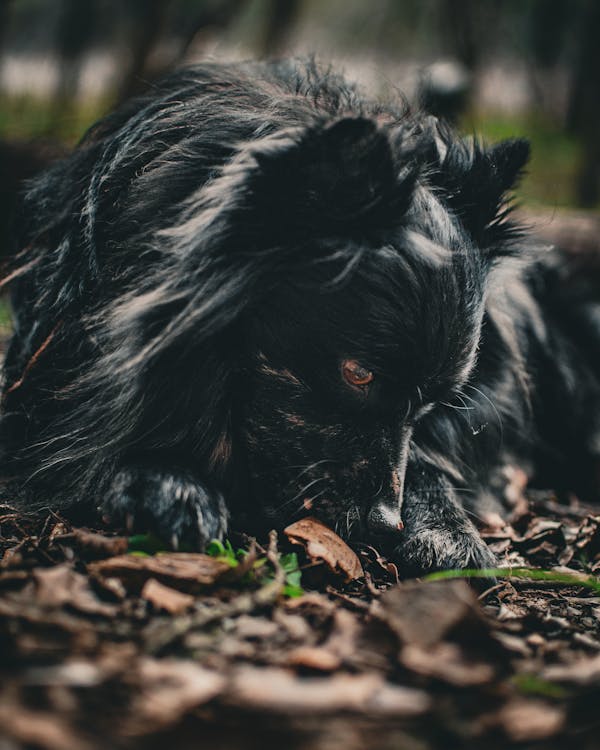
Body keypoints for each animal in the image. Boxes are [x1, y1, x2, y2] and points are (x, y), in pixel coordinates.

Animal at [1, 60, 600, 576]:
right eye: (357, 374)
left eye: (433, 405)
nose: (384, 524)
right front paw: (161, 482)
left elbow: (427, 463)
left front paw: (446, 529)